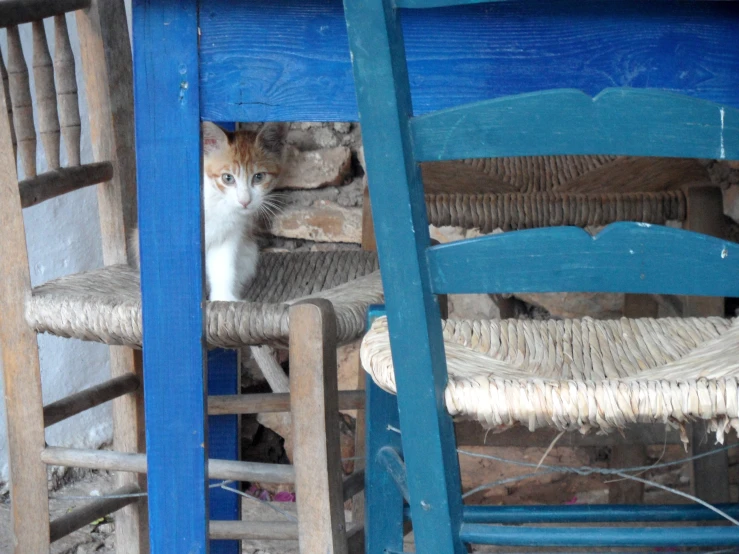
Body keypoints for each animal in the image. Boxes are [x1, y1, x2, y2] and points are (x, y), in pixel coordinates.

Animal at [130, 121, 286, 300]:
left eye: (259, 177)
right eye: (227, 178)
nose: (244, 201)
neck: (218, 203)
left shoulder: (227, 235)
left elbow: (223, 266)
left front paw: (223, 297)